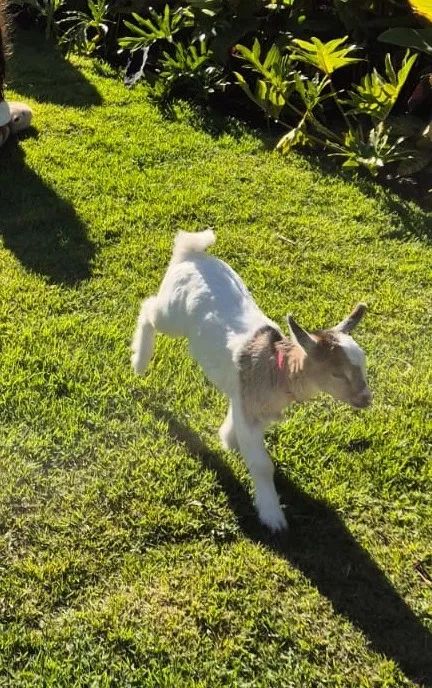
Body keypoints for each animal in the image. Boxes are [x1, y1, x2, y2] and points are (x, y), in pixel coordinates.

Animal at [131, 230, 372, 531]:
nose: (366, 399)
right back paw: (139, 362)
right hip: (172, 314)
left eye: (363, 363)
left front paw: (227, 439)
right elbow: (262, 465)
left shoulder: (246, 402)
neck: (277, 367)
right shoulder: (250, 409)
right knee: (148, 309)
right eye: (337, 373)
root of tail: (192, 253)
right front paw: (273, 517)